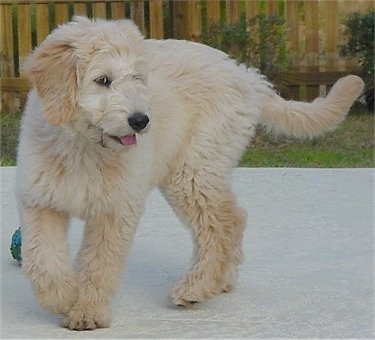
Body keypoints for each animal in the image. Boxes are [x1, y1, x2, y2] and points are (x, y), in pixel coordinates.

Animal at [16, 15, 364, 330]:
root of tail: (243, 75)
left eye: (138, 79)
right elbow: (41, 256)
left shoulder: (117, 210)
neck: (83, 147)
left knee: (223, 222)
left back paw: (198, 286)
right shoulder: (40, 201)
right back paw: (222, 279)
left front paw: (87, 311)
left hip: (193, 168)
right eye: (103, 80)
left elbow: (100, 263)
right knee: (233, 217)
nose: (141, 121)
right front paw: (61, 296)